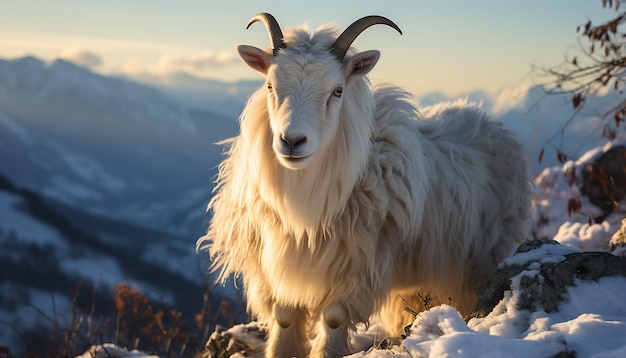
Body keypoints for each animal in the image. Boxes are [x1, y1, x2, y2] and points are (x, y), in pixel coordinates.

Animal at [197, 12, 528, 356]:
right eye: (270, 85)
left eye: (337, 91)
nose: (292, 141)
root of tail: (490, 122)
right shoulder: (275, 269)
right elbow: (285, 317)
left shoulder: (354, 268)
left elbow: (333, 318)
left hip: (476, 260)